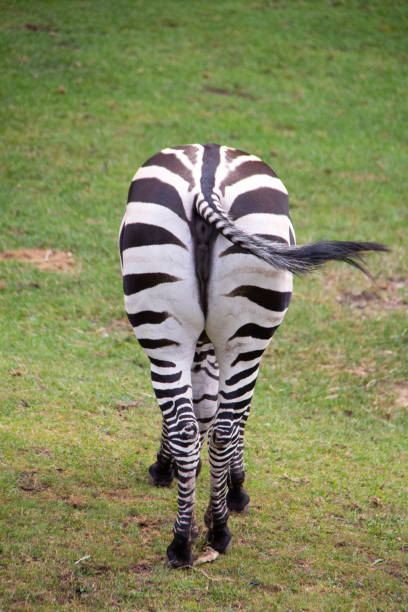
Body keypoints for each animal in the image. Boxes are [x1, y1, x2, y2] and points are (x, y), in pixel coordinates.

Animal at [117, 143, 386, 568]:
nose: (161, 470)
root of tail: (206, 177)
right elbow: (233, 413)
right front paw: (233, 489)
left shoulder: (207, 347)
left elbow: (204, 407)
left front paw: (178, 474)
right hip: (245, 338)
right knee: (224, 426)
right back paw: (218, 530)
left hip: (167, 329)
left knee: (190, 426)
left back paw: (182, 541)